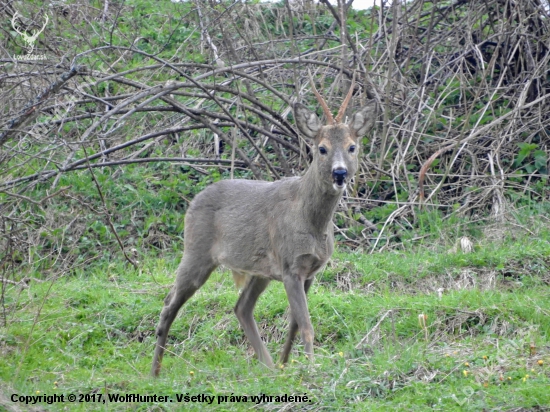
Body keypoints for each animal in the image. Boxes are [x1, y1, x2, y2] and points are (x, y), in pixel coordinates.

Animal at [154, 78, 380, 376]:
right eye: (322, 148)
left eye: (352, 146)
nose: (340, 173)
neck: (311, 221)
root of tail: (192, 203)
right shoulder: (290, 266)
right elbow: (306, 325)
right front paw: (311, 367)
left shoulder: (310, 271)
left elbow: (295, 324)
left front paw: (287, 364)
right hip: (196, 251)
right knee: (169, 303)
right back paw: (154, 372)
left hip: (258, 269)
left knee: (241, 306)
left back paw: (270, 366)